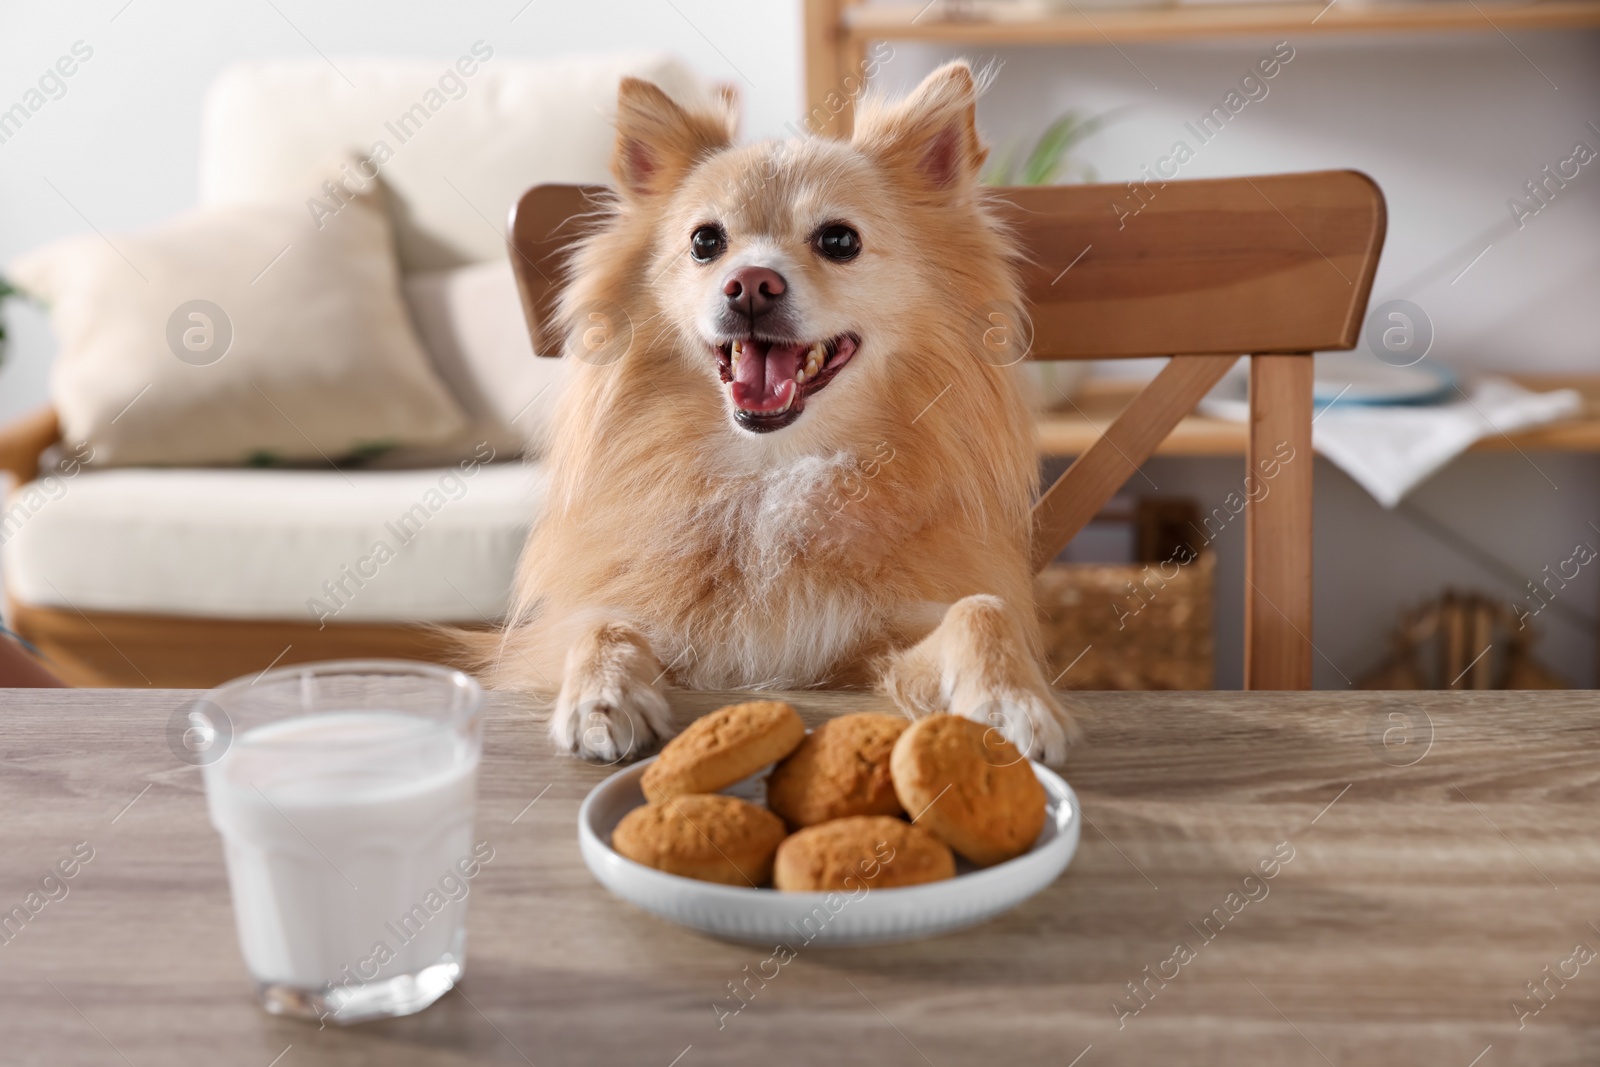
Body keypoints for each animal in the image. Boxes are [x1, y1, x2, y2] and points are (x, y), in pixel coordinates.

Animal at [489, 62, 1075, 767]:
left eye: (839, 240)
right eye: (705, 242)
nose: (750, 284)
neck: (773, 473)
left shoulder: (877, 646)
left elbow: (981, 609)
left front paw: (1011, 697)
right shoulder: (590, 627)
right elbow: (600, 622)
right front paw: (601, 698)